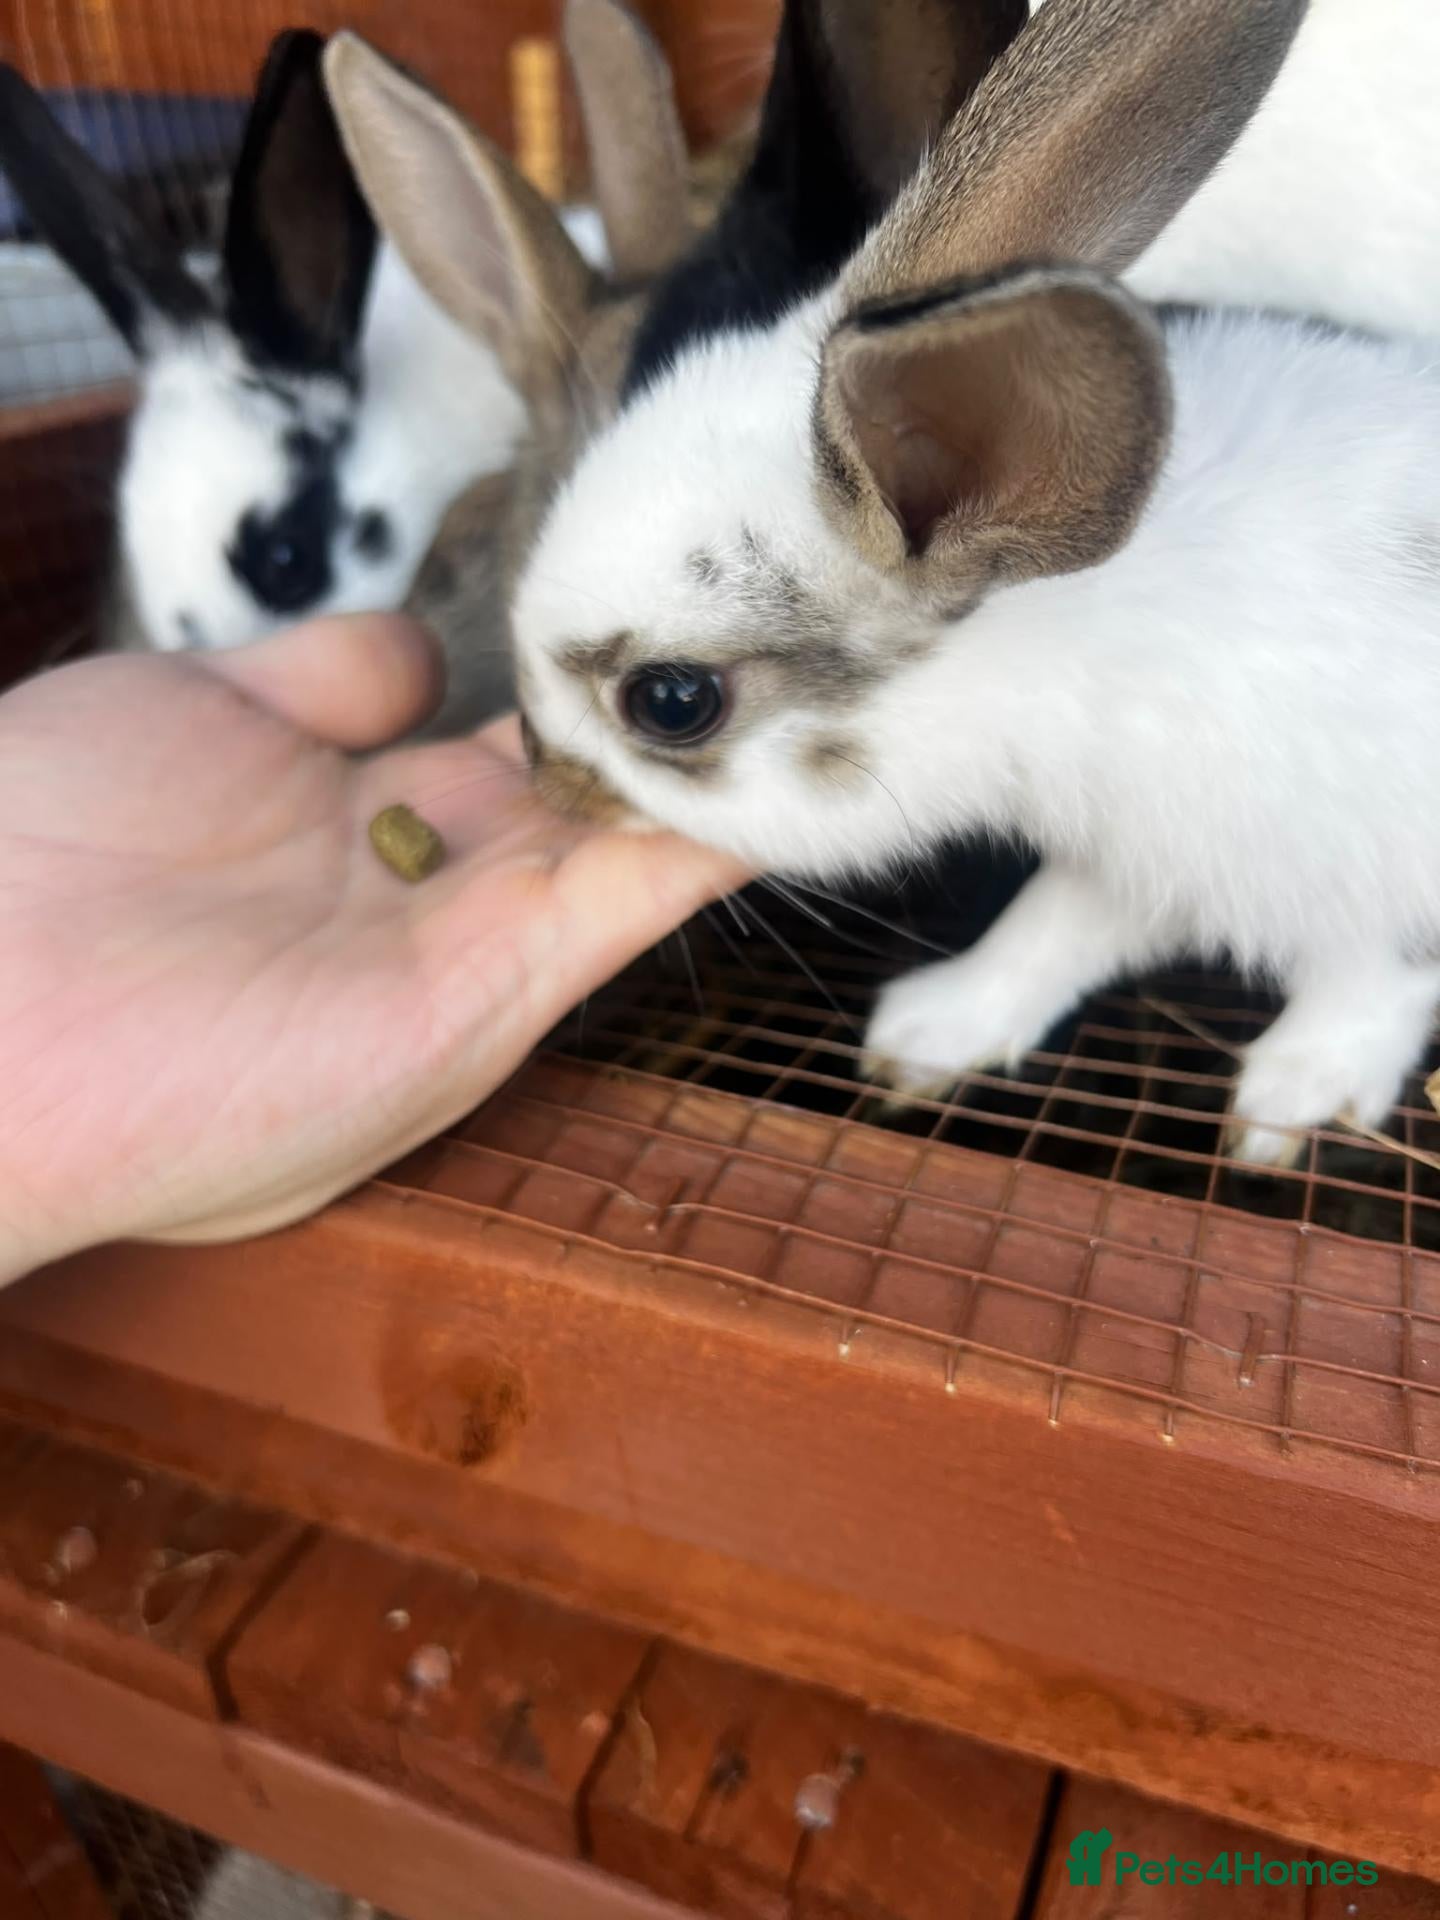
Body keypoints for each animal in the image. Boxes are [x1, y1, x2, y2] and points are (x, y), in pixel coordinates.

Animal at [509, 0, 1440, 1166]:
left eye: (672, 703)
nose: (536, 762)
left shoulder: (1372, 873)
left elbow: (1375, 983)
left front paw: (1295, 1097)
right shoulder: (1129, 858)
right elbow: (1051, 930)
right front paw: (928, 1035)